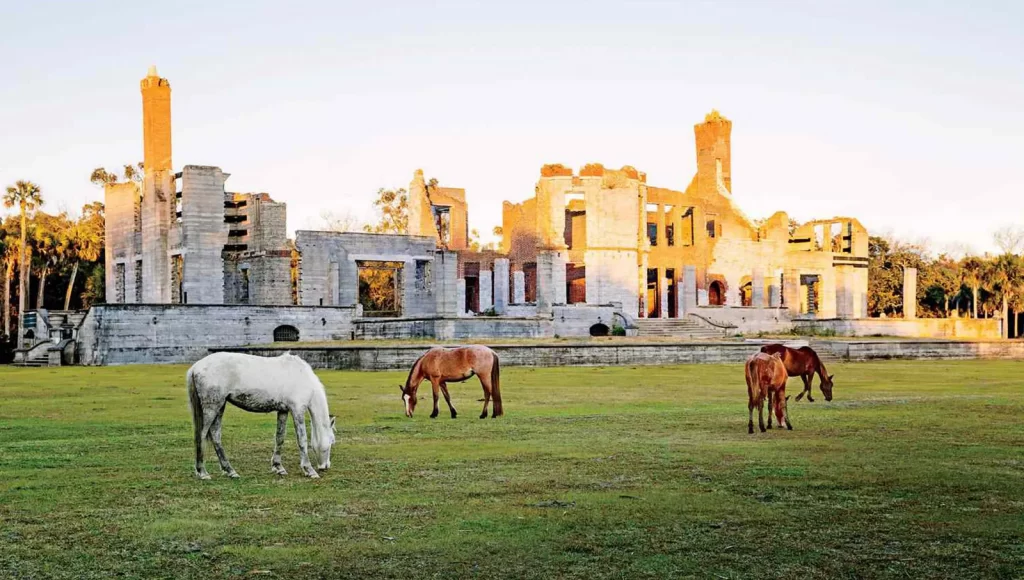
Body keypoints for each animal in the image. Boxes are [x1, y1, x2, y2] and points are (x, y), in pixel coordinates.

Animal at [186, 350, 337, 481]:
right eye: (332, 441)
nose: (325, 466)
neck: (302, 377)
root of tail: (195, 367)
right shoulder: (297, 410)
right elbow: (302, 440)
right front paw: (309, 470)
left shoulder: (283, 411)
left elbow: (279, 438)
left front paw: (278, 467)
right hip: (212, 407)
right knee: (201, 435)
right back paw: (202, 472)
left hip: (220, 406)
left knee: (215, 436)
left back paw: (230, 471)